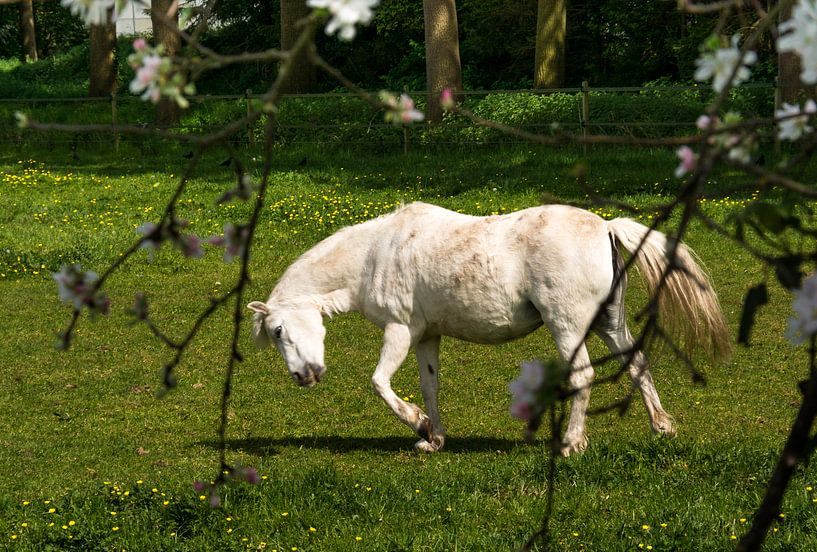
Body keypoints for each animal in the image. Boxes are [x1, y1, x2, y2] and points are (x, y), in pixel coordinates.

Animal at [248, 202, 730, 455]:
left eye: (278, 330)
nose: (303, 376)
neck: (375, 254)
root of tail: (605, 227)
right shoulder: (426, 336)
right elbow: (429, 387)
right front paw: (433, 437)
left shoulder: (400, 330)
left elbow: (380, 383)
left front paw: (417, 424)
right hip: (608, 323)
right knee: (637, 361)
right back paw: (661, 427)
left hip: (568, 325)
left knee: (585, 376)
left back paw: (572, 443)